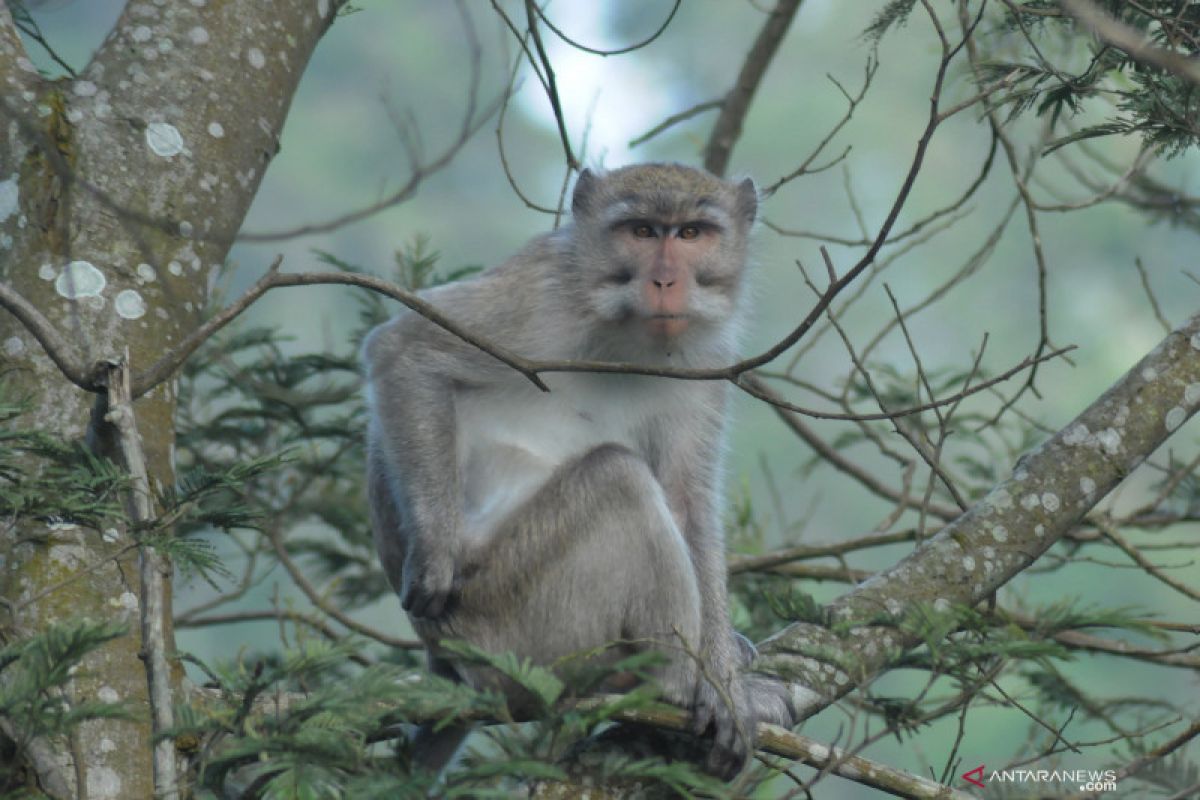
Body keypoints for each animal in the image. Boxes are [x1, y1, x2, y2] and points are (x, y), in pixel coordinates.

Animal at [364, 164, 796, 782]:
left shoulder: (708, 361)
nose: (665, 280)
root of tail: (451, 665)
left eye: (691, 233)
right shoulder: (539, 291)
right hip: (513, 622)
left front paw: (723, 685)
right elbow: (405, 349)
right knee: (619, 478)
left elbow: (687, 500)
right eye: (641, 230)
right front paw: (435, 558)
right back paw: (668, 683)